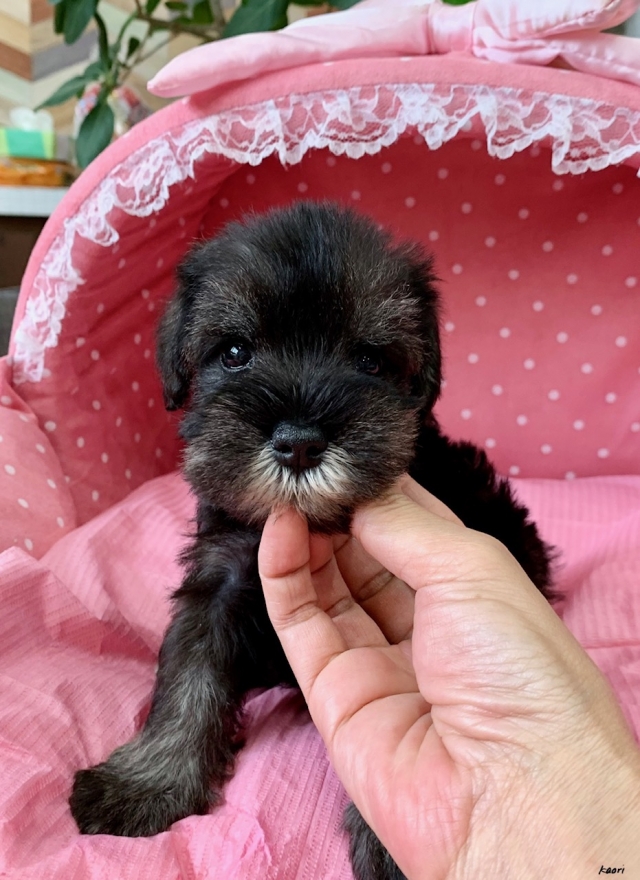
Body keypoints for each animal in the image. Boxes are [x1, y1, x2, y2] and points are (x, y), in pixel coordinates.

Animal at [70, 201, 554, 880]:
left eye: (370, 361)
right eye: (235, 352)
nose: (298, 443)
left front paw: (398, 835)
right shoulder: (219, 578)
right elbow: (187, 674)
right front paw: (146, 782)